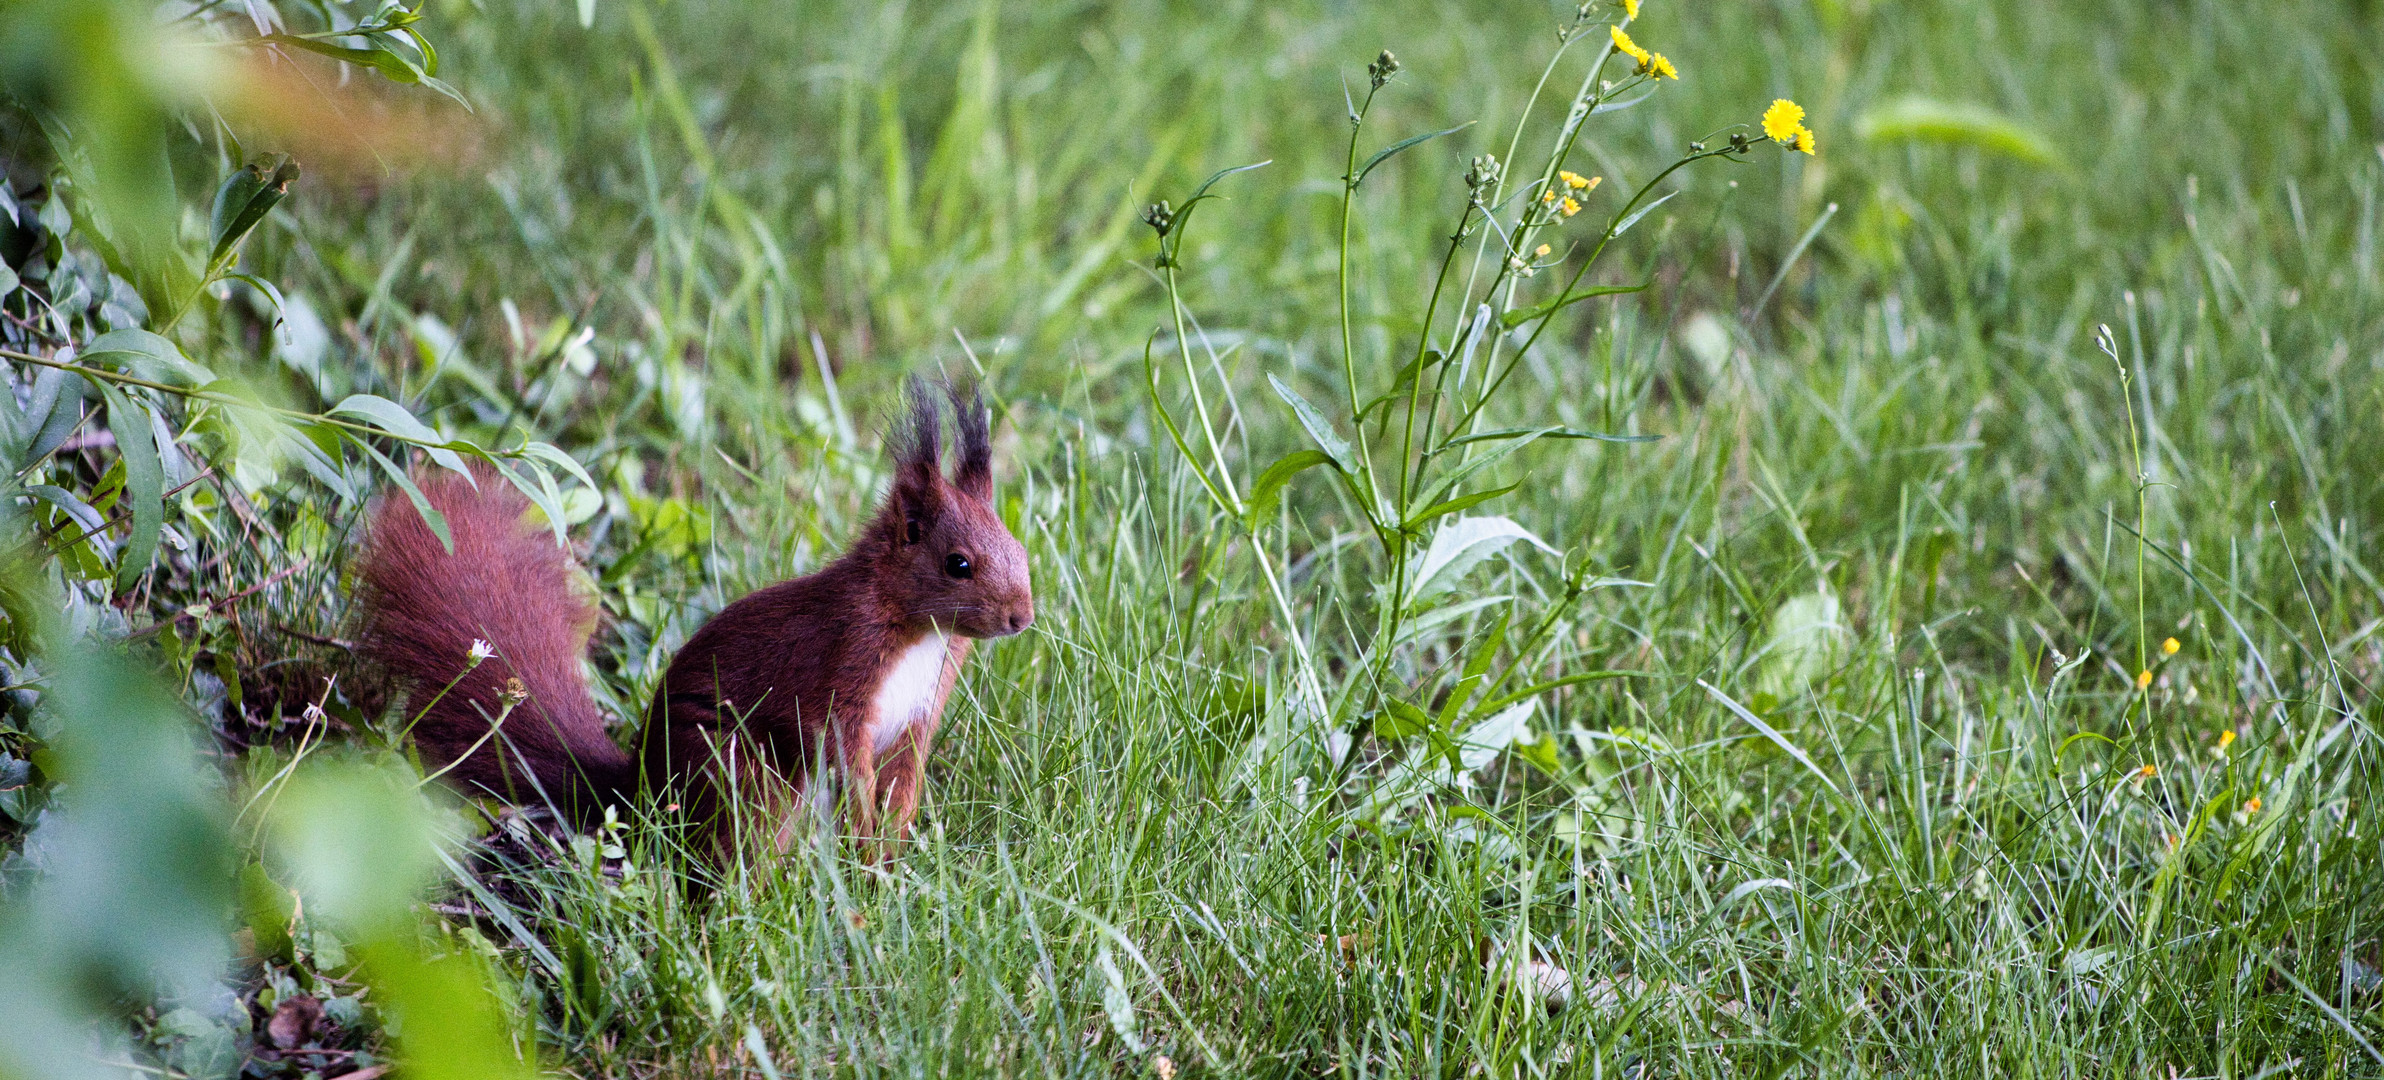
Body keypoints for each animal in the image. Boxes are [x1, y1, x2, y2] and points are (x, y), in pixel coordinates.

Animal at [351, 379, 1033, 859]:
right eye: (959, 564)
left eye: (1021, 550)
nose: (1021, 618)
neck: (920, 632)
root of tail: (635, 788)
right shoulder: (845, 662)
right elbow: (845, 748)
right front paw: (868, 830)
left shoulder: (922, 705)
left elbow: (904, 776)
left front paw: (888, 854)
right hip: (739, 770)